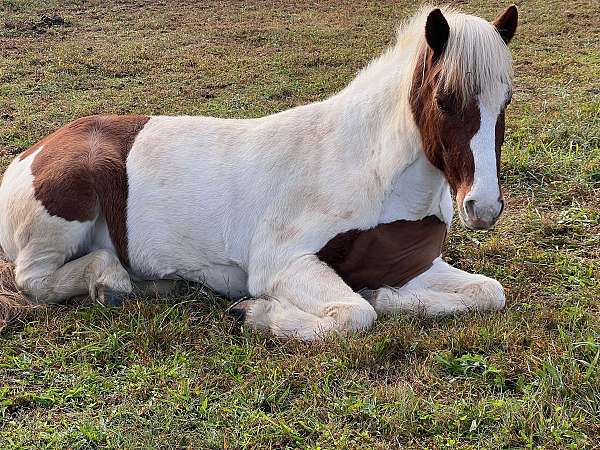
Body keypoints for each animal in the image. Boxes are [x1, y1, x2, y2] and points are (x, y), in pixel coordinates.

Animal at [0, 5, 516, 340]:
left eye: (506, 101)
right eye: (445, 100)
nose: (484, 207)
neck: (366, 170)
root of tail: (31, 154)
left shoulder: (414, 265)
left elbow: (489, 292)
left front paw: (390, 299)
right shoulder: (284, 264)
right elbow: (352, 315)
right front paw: (254, 315)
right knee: (34, 279)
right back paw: (109, 281)